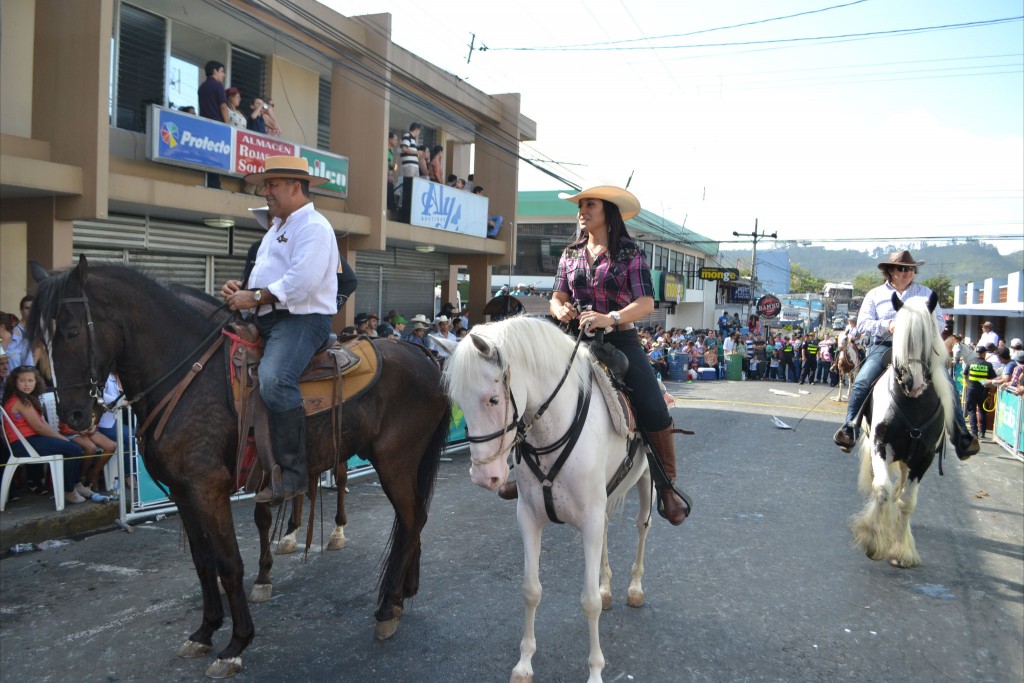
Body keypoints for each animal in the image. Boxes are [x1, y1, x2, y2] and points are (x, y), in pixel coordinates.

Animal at [30, 259, 452, 679]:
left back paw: (387, 607)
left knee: (411, 518)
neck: (188, 375)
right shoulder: (183, 492)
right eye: (40, 340)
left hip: (395, 460)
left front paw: (236, 644)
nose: (73, 415)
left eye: (70, 332)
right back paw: (401, 595)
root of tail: (423, 355)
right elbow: (203, 562)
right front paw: (205, 631)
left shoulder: (209, 487)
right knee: (411, 519)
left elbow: (229, 563)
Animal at [442, 317, 651, 683]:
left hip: (647, 478)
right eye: (458, 403)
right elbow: (531, 591)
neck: (552, 432)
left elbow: (588, 602)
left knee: (642, 525)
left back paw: (635, 587)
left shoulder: (589, 518)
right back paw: (608, 587)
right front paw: (524, 663)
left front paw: (595, 671)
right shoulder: (528, 517)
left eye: (493, 399)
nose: (484, 477)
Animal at [847, 290, 950, 569]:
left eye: (927, 337)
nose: (911, 382)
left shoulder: (924, 457)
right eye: (901, 336)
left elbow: (906, 502)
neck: (912, 405)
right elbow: (881, 488)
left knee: (901, 489)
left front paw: (901, 551)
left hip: (908, 460)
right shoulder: (881, 446)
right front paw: (872, 540)